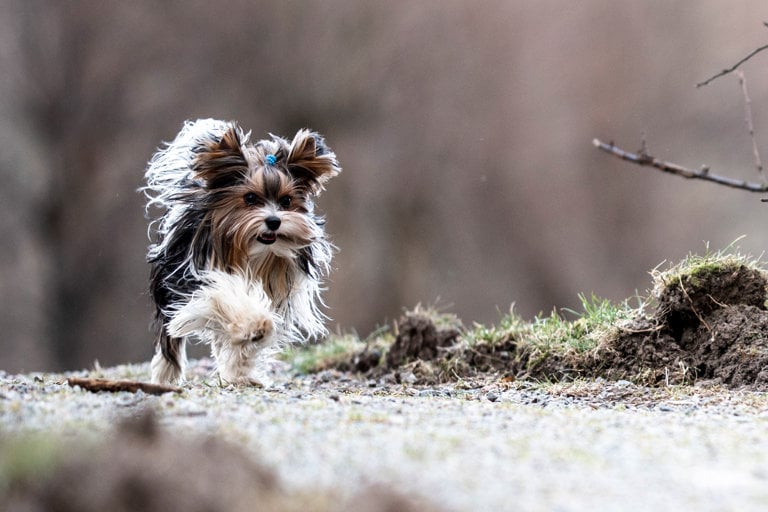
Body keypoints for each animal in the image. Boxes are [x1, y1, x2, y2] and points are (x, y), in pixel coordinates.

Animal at [142, 120, 340, 384]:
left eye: (286, 201)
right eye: (250, 198)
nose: (274, 221)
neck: (252, 252)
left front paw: (241, 368)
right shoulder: (200, 279)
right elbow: (229, 298)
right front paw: (254, 326)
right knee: (169, 334)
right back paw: (166, 374)